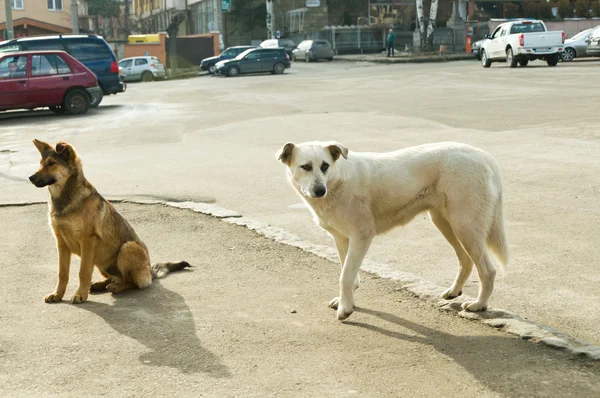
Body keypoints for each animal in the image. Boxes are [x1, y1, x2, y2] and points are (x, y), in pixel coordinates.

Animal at [29, 140, 190, 304]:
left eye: (51, 163)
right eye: (41, 163)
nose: (30, 177)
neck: (66, 198)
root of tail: (150, 271)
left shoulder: (88, 241)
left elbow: (83, 272)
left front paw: (80, 294)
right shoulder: (61, 244)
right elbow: (62, 273)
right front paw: (57, 294)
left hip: (127, 248)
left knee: (133, 282)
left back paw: (117, 287)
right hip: (101, 262)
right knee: (114, 278)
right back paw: (100, 284)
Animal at [276, 140, 506, 320]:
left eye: (325, 166)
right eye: (305, 166)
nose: (319, 190)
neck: (336, 181)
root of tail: (484, 156)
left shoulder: (361, 236)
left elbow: (346, 275)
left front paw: (346, 309)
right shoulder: (342, 239)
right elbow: (347, 272)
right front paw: (346, 300)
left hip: (465, 226)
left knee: (488, 270)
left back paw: (479, 305)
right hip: (445, 223)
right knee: (465, 260)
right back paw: (454, 291)